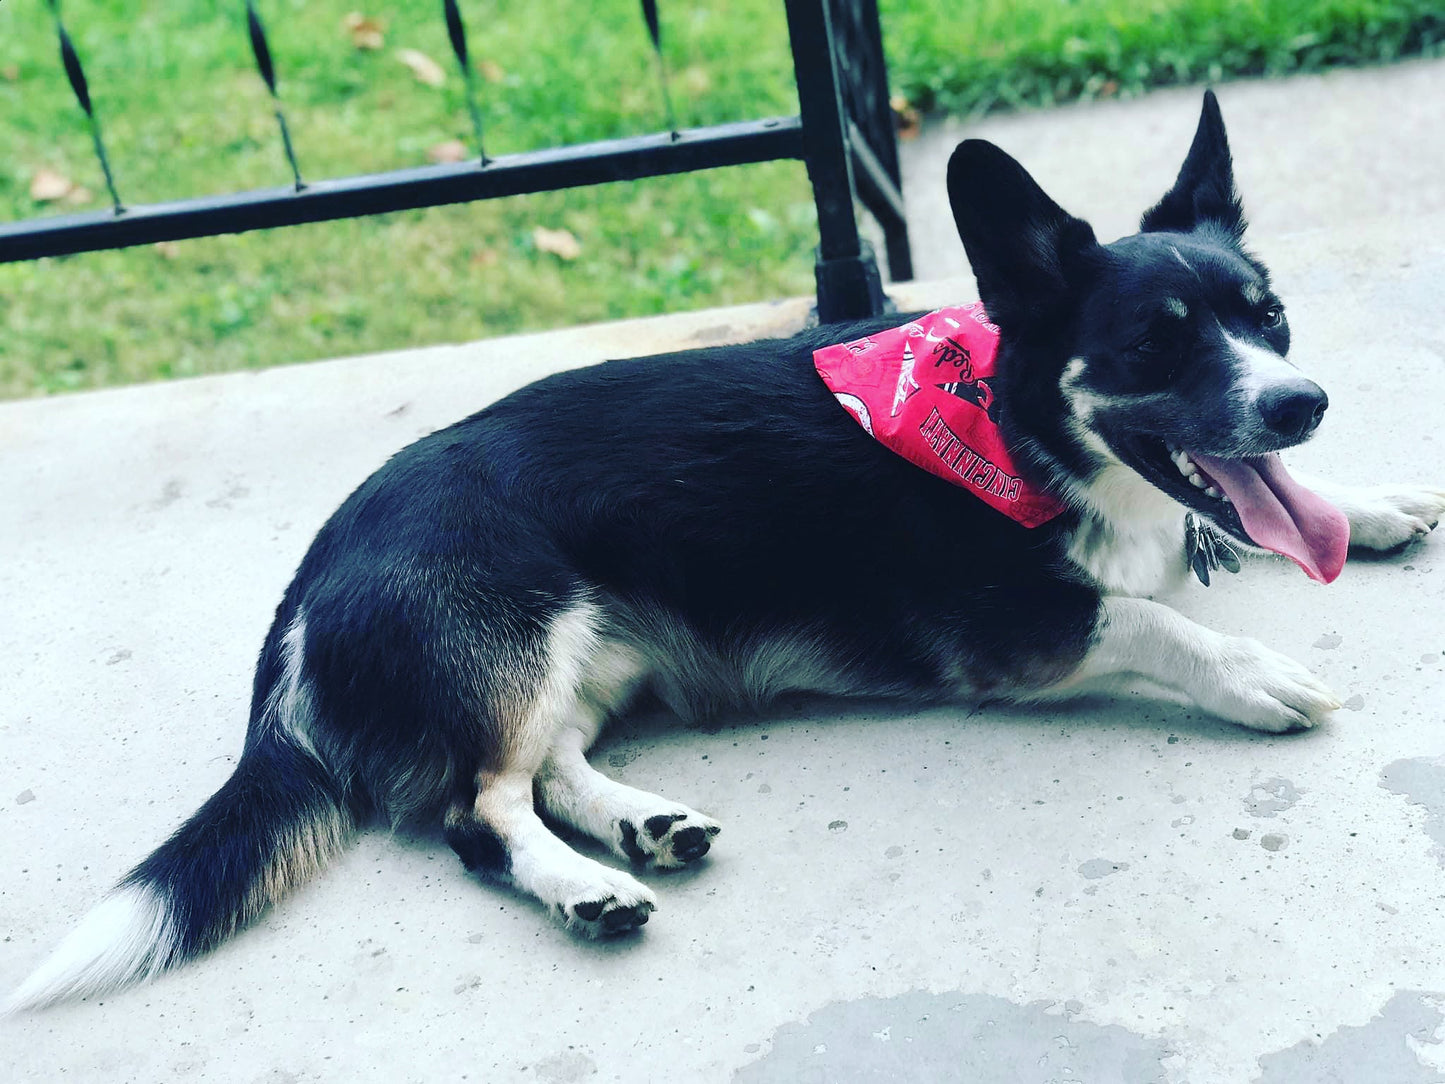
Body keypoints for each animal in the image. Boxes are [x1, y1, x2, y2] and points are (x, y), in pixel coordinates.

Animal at [11, 89, 1445, 1017]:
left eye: (1268, 319)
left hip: (586, 658)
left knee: (553, 768)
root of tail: (311, 578)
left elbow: (1247, 526)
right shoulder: (1015, 626)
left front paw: (1370, 502)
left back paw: (640, 828)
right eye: (1154, 344)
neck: (1020, 429)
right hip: (514, 636)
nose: (1301, 404)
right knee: (476, 812)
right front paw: (1250, 671)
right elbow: (1143, 614)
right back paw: (585, 890)